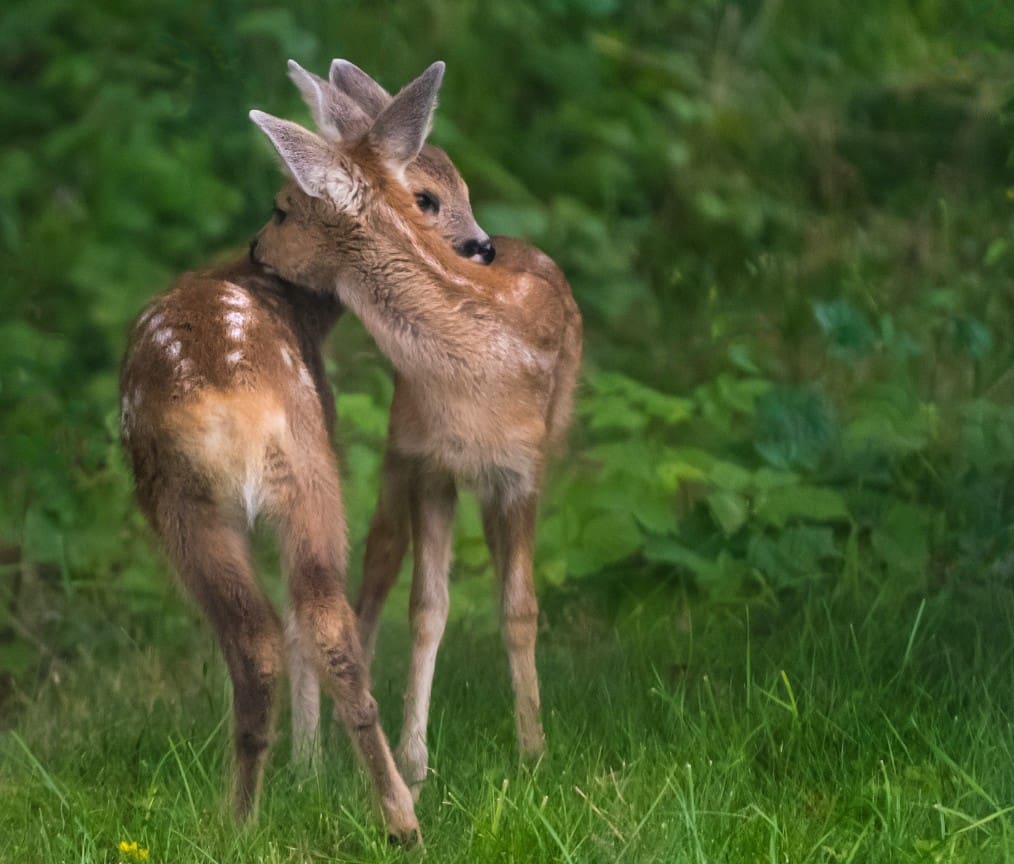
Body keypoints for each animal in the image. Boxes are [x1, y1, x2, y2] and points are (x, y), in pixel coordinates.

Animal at [118, 60, 494, 843]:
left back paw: (248, 816)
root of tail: (227, 398)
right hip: (300, 474)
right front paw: (310, 769)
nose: (482, 248)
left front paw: (306, 768)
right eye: (428, 196)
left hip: (198, 498)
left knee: (268, 635)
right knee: (314, 624)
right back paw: (393, 816)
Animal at [249, 60, 584, 803]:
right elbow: (427, 608)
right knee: (377, 563)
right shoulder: (429, 463)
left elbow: (520, 608)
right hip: (397, 453)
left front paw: (535, 750)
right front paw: (413, 759)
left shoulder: (523, 471)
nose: (254, 252)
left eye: (283, 207)